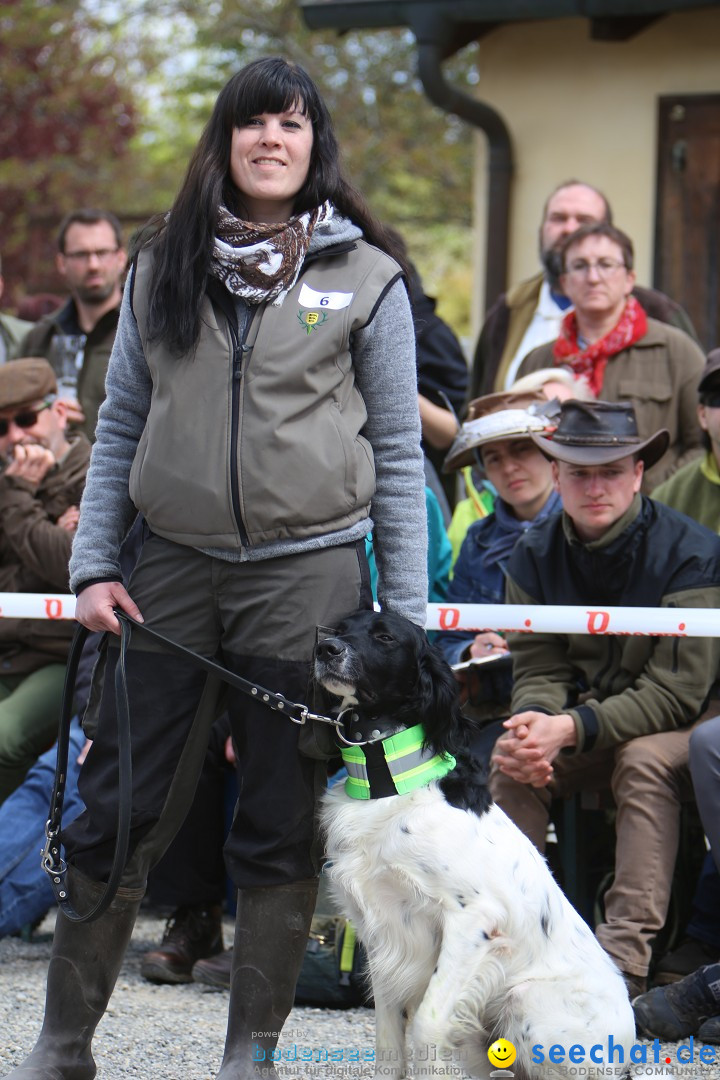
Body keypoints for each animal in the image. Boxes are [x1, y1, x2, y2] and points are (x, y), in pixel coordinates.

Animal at [317, 613, 634, 1075]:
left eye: (385, 636)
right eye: (340, 627)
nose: (325, 648)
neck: (389, 781)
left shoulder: (473, 922)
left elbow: (427, 1026)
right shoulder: (382, 932)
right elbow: (389, 1039)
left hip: (525, 1002)